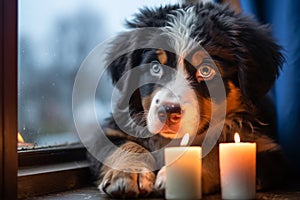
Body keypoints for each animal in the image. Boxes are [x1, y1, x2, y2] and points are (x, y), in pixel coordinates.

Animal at [89, 1, 290, 198]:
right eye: (155, 67)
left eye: (206, 70)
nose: (168, 111)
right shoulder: (111, 130)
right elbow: (125, 146)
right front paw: (127, 174)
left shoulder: (266, 148)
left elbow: (214, 151)